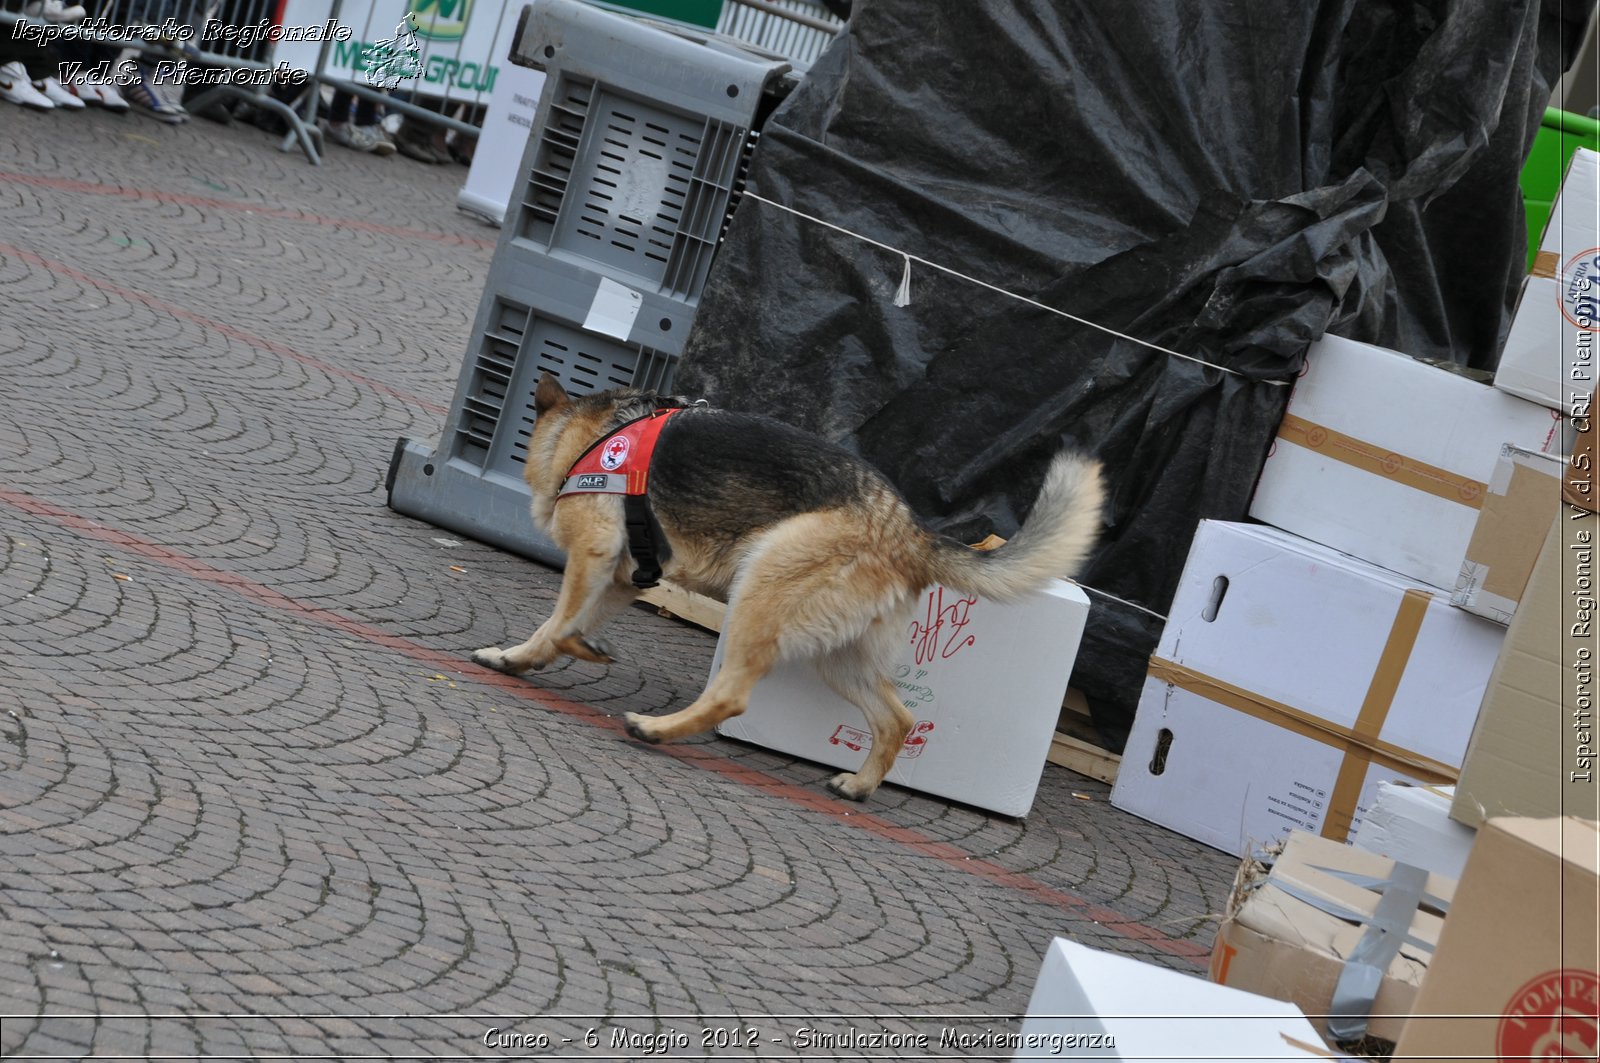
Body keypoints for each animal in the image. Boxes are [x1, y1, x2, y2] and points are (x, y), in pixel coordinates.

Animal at [467, 373, 1107, 797]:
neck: (592, 435)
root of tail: (910, 533)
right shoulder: (623, 579)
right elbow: (569, 627)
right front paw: (560, 653)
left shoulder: (593, 559)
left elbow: (554, 621)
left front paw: (518, 655)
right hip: (838, 657)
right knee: (897, 720)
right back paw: (859, 787)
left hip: (759, 589)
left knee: (731, 696)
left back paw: (655, 729)